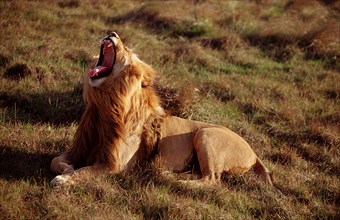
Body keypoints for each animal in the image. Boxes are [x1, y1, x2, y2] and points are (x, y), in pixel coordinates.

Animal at [50, 31, 272, 186]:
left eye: (127, 49)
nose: (112, 33)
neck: (104, 106)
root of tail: (253, 151)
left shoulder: (115, 165)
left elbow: (86, 171)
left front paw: (65, 179)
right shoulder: (80, 148)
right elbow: (56, 160)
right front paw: (67, 168)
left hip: (205, 135)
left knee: (212, 180)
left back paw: (170, 178)